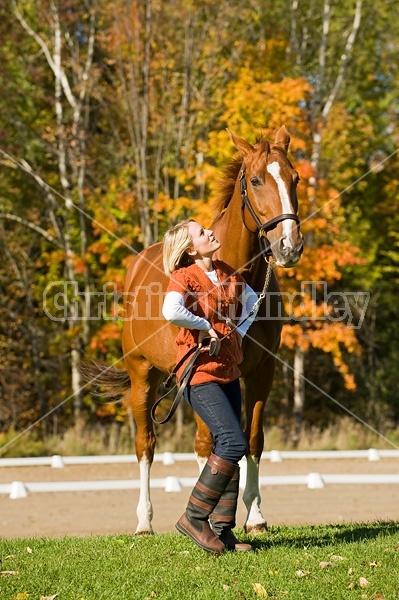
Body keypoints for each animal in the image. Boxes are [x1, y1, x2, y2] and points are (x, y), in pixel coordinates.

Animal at [84, 126, 304, 536]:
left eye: (295, 178)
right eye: (256, 180)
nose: (289, 246)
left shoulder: (261, 372)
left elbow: (252, 439)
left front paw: (255, 517)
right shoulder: (203, 370)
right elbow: (205, 443)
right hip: (143, 375)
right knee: (146, 443)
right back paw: (144, 521)